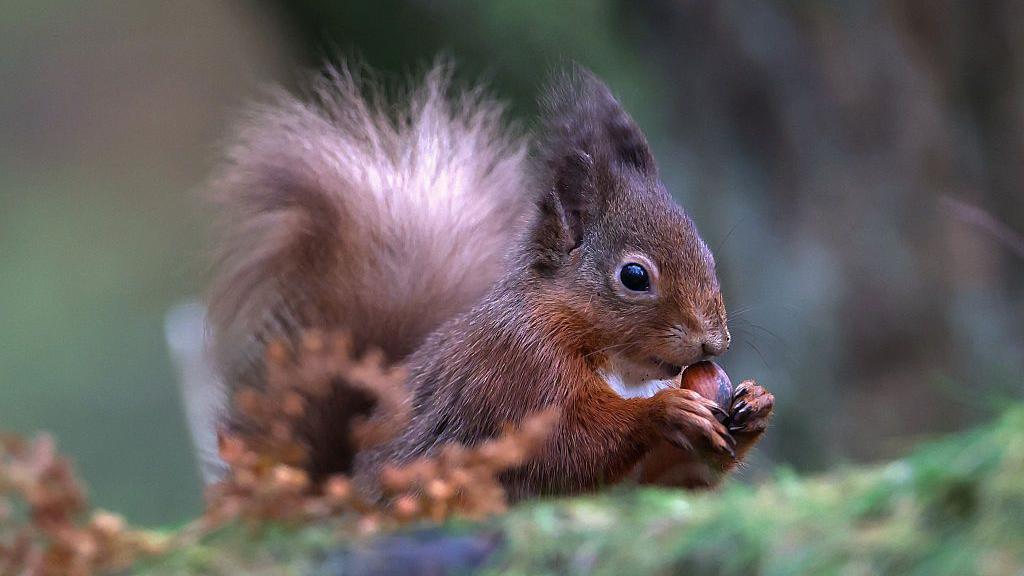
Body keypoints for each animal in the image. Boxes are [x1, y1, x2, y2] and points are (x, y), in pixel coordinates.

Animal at [206, 62, 774, 499]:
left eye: (708, 255)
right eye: (634, 276)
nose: (715, 341)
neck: (620, 368)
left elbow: (664, 479)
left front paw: (755, 404)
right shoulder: (515, 370)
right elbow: (565, 445)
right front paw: (664, 410)